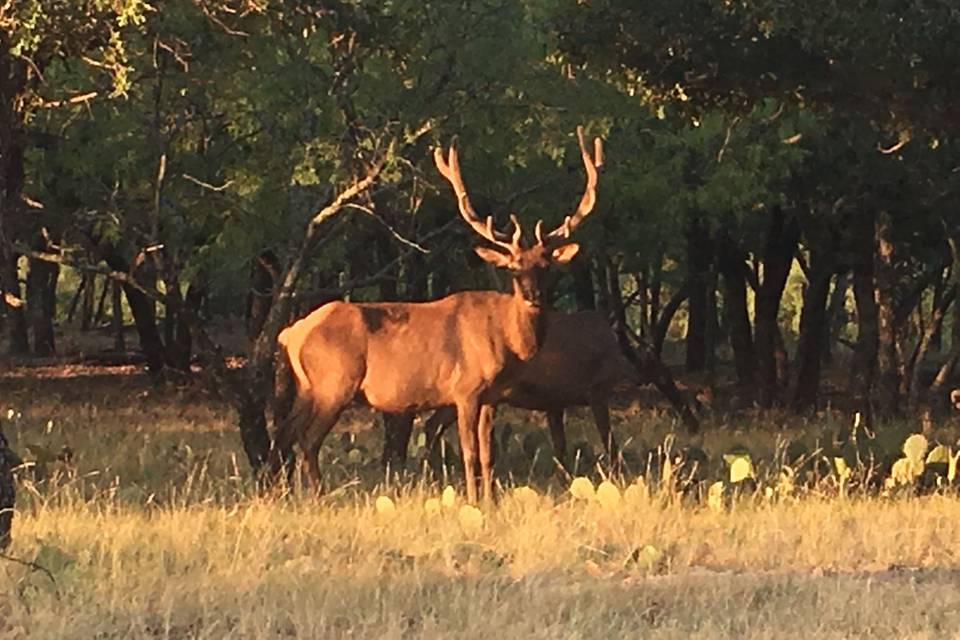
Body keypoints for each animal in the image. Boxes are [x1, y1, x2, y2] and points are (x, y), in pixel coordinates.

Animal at [270, 127, 600, 502]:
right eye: (514, 268)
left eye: (545, 266)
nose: (534, 296)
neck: (510, 343)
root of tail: (291, 333)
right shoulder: (465, 389)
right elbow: (469, 452)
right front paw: (471, 499)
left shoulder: (493, 397)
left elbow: (488, 453)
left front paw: (490, 500)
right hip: (334, 382)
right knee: (308, 440)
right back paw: (318, 495)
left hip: (307, 387)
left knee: (284, 434)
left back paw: (283, 492)